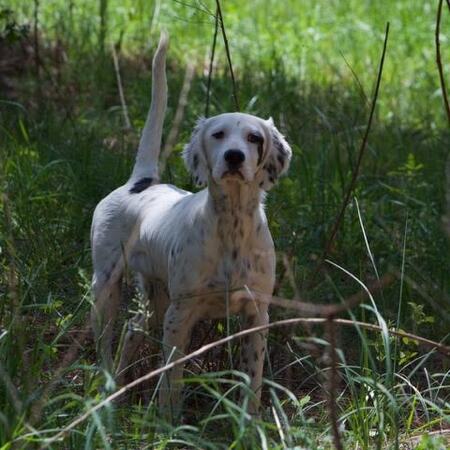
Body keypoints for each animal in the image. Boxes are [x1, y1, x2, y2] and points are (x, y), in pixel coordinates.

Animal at [89, 33, 292, 420]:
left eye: (254, 138)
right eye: (218, 135)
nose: (234, 157)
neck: (231, 228)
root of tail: (141, 181)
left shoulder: (257, 315)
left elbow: (253, 382)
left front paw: (249, 424)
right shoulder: (179, 315)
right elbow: (172, 381)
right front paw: (169, 424)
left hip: (154, 301)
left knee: (131, 331)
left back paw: (120, 389)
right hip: (107, 287)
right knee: (105, 340)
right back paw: (105, 389)